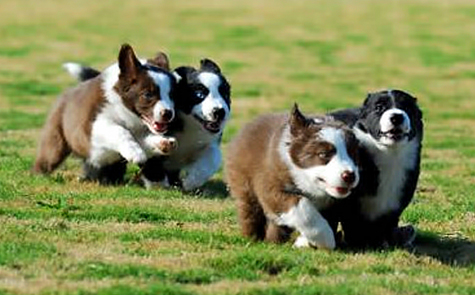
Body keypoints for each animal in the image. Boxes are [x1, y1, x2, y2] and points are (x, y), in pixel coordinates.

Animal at [33, 43, 177, 184]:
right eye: (147, 94)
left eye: (171, 95)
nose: (168, 114)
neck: (128, 114)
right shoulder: (91, 129)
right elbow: (119, 130)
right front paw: (135, 152)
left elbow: (142, 140)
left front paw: (162, 143)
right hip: (56, 139)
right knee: (49, 156)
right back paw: (39, 176)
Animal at [225, 104, 358, 250]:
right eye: (323, 154)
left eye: (353, 154)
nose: (349, 176)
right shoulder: (271, 186)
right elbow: (302, 207)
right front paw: (325, 238)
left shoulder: (332, 203)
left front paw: (305, 241)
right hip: (243, 182)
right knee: (250, 210)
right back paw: (254, 238)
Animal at [330, 89, 426, 249]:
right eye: (379, 107)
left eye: (407, 108)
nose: (397, 117)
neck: (390, 153)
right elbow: (351, 225)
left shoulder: (395, 206)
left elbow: (387, 225)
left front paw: (384, 243)